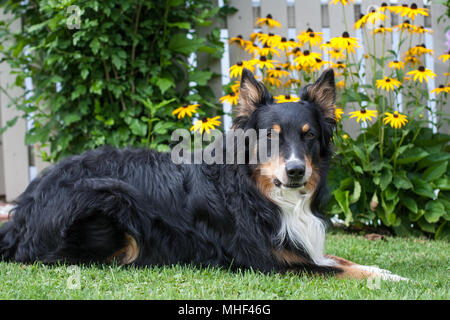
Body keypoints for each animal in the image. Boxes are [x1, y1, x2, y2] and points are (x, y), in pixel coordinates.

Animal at [0, 69, 406, 280]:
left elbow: (340, 261)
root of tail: (23, 210)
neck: (260, 192)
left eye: (308, 137)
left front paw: (388, 273)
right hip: (109, 194)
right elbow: (335, 270)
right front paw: (386, 279)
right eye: (269, 138)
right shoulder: (268, 262)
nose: (295, 171)